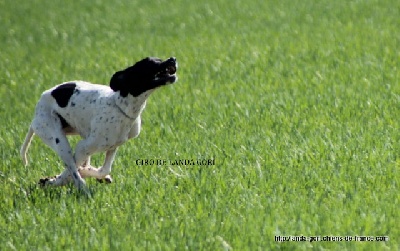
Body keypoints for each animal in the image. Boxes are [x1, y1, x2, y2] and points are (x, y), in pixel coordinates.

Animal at [20, 56, 178, 194]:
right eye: (150, 63)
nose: (173, 59)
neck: (121, 107)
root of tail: (37, 110)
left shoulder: (112, 147)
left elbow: (104, 170)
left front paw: (88, 173)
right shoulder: (82, 147)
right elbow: (71, 171)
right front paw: (52, 181)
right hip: (60, 142)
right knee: (73, 169)